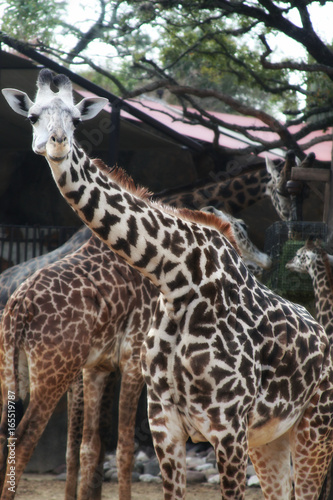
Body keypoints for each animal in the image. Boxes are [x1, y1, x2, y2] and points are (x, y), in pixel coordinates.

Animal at [2, 69, 332, 500]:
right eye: (33, 116)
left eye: (75, 119)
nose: (56, 145)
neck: (176, 279)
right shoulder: (163, 420)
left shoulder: (227, 427)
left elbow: (114, 445)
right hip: (271, 438)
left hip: (311, 429)